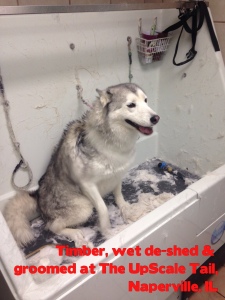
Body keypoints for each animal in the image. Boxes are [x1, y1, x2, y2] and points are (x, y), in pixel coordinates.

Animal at [3, 83, 159, 247]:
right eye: (131, 105)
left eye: (146, 100)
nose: (156, 118)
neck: (111, 142)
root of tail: (38, 197)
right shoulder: (87, 185)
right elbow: (103, 209)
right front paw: (109, 233)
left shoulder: (117, 175)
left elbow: (118, 195)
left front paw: (126, 209)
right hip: (84, 207)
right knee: (52, 226)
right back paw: (74, 233)